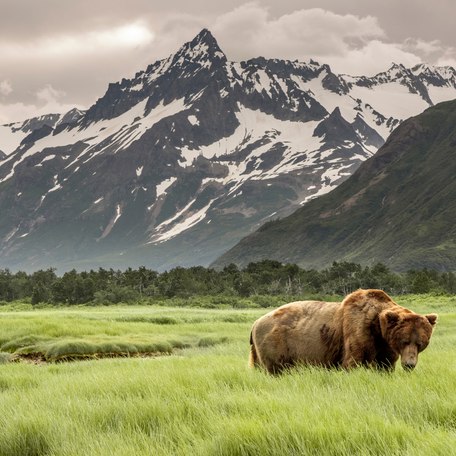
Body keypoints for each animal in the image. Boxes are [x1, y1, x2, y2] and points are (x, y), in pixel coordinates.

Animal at [249, 288, 438, 374]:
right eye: (404, 340)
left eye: (420, 343)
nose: (409, 365)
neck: (378, 328)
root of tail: (255, 322)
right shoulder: (357, 330)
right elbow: (353, 361)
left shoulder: (384, 345)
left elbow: (385, 364)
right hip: (277, 342)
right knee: (276, 368)